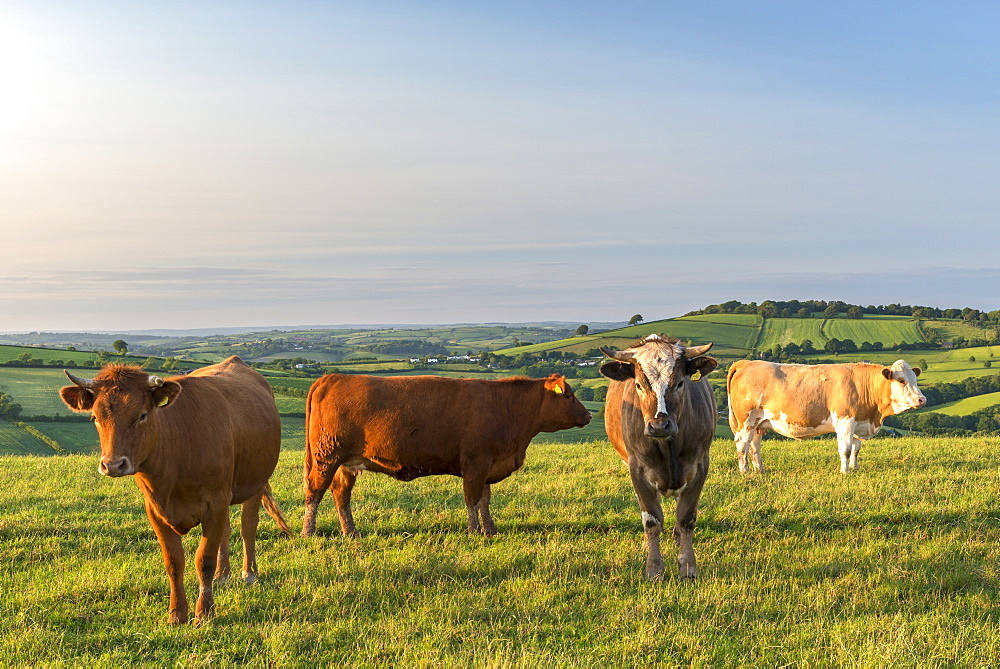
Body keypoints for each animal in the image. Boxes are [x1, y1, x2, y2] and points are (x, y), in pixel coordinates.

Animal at [61, 358, 292, 624]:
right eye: (95, 418)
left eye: (142, 415)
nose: (112, 465)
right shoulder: (156, 510)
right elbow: (174, 562)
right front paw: (177, 613)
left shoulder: (214, 504)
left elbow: (204, 560)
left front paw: (204, 612)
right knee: (226, 530)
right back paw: (223, 575)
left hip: (255, 481)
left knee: (248, 526)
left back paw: (249, 573)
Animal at [300, 374, 588, 536]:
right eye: (569, 396)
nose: (588, 415)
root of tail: (333, 377)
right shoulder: (475, 463)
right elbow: (472, 499)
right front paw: (474, 531)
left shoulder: (488, 465)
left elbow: (485, 500)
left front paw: (490, 530)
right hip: (326, 457)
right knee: (314, 491)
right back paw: (307, 532)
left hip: (345, 464)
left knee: (341, 494)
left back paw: (350, 532)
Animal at [600, 334, 720, 580]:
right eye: (638, 385)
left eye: (680, 383)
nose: (659, 425)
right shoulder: (637, 469)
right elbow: (651, 519)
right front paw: (654, 568)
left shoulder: (699, 467)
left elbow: (686, 518)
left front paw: (687, 566)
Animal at [724, 358, 924, 472]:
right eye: (901, 380)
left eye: (915, 379)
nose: (922, 399)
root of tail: (747, 363)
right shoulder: (845, 422)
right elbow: (846, 449)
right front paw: (845, 472)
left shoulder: (859, 421)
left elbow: (856, 449)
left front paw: (855, 468)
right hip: (746, 420)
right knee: (742, 444)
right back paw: (745, 472)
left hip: (759, 423)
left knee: (754, 446)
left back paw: (760, 470)